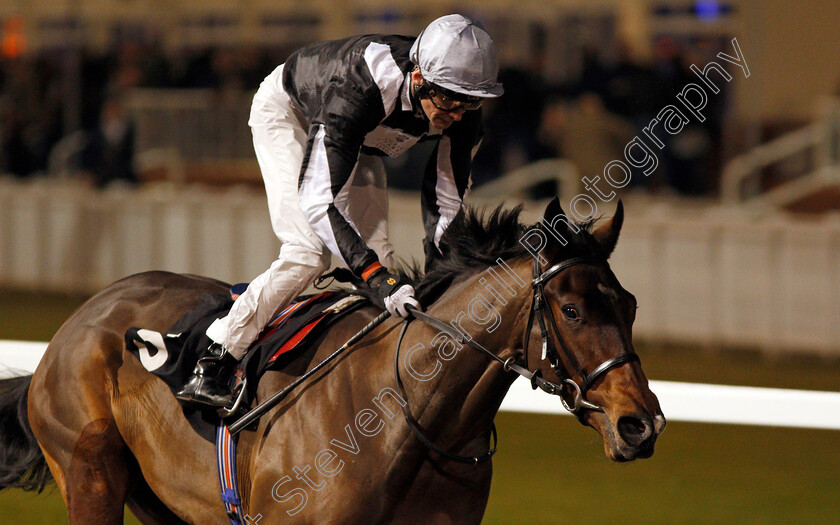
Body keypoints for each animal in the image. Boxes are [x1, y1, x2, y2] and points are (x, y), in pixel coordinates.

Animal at [3, 198, 668, 524]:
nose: (641, 424)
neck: (410, 417)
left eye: (630, 304)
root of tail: (74, 325)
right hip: (91, 475)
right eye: (573, 310)